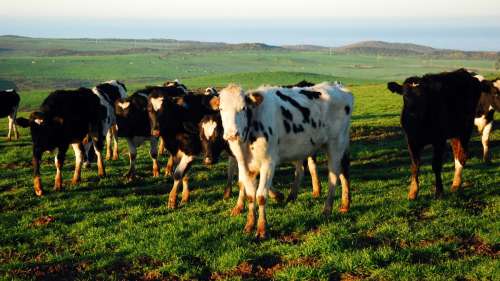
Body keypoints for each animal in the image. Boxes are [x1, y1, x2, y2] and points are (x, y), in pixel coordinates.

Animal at [218, 82, 352, 237]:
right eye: (221, 109)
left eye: (243, 108)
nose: (231, 134)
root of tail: (337, 86)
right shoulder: (243, 164)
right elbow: (250, 194)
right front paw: (250, 224)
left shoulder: (268, 162)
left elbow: (261, 196)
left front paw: (262, 229)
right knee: (342, 171)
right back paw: (345, 204)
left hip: (335, 144)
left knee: (333, 176)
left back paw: (327, 210)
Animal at [386, 68, 484, 199]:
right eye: (405, 96)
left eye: (423, 96)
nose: (413, 113)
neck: (419, 124)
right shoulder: (411, 141)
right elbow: (415, 165)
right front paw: (413, 192)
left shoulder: (439, 140)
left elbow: (436, 165)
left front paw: (439, 191)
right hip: (453, 132)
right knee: (456, 154)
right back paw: (455, 183)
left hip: (465, 128)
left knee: (462, 155)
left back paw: (457, 183)